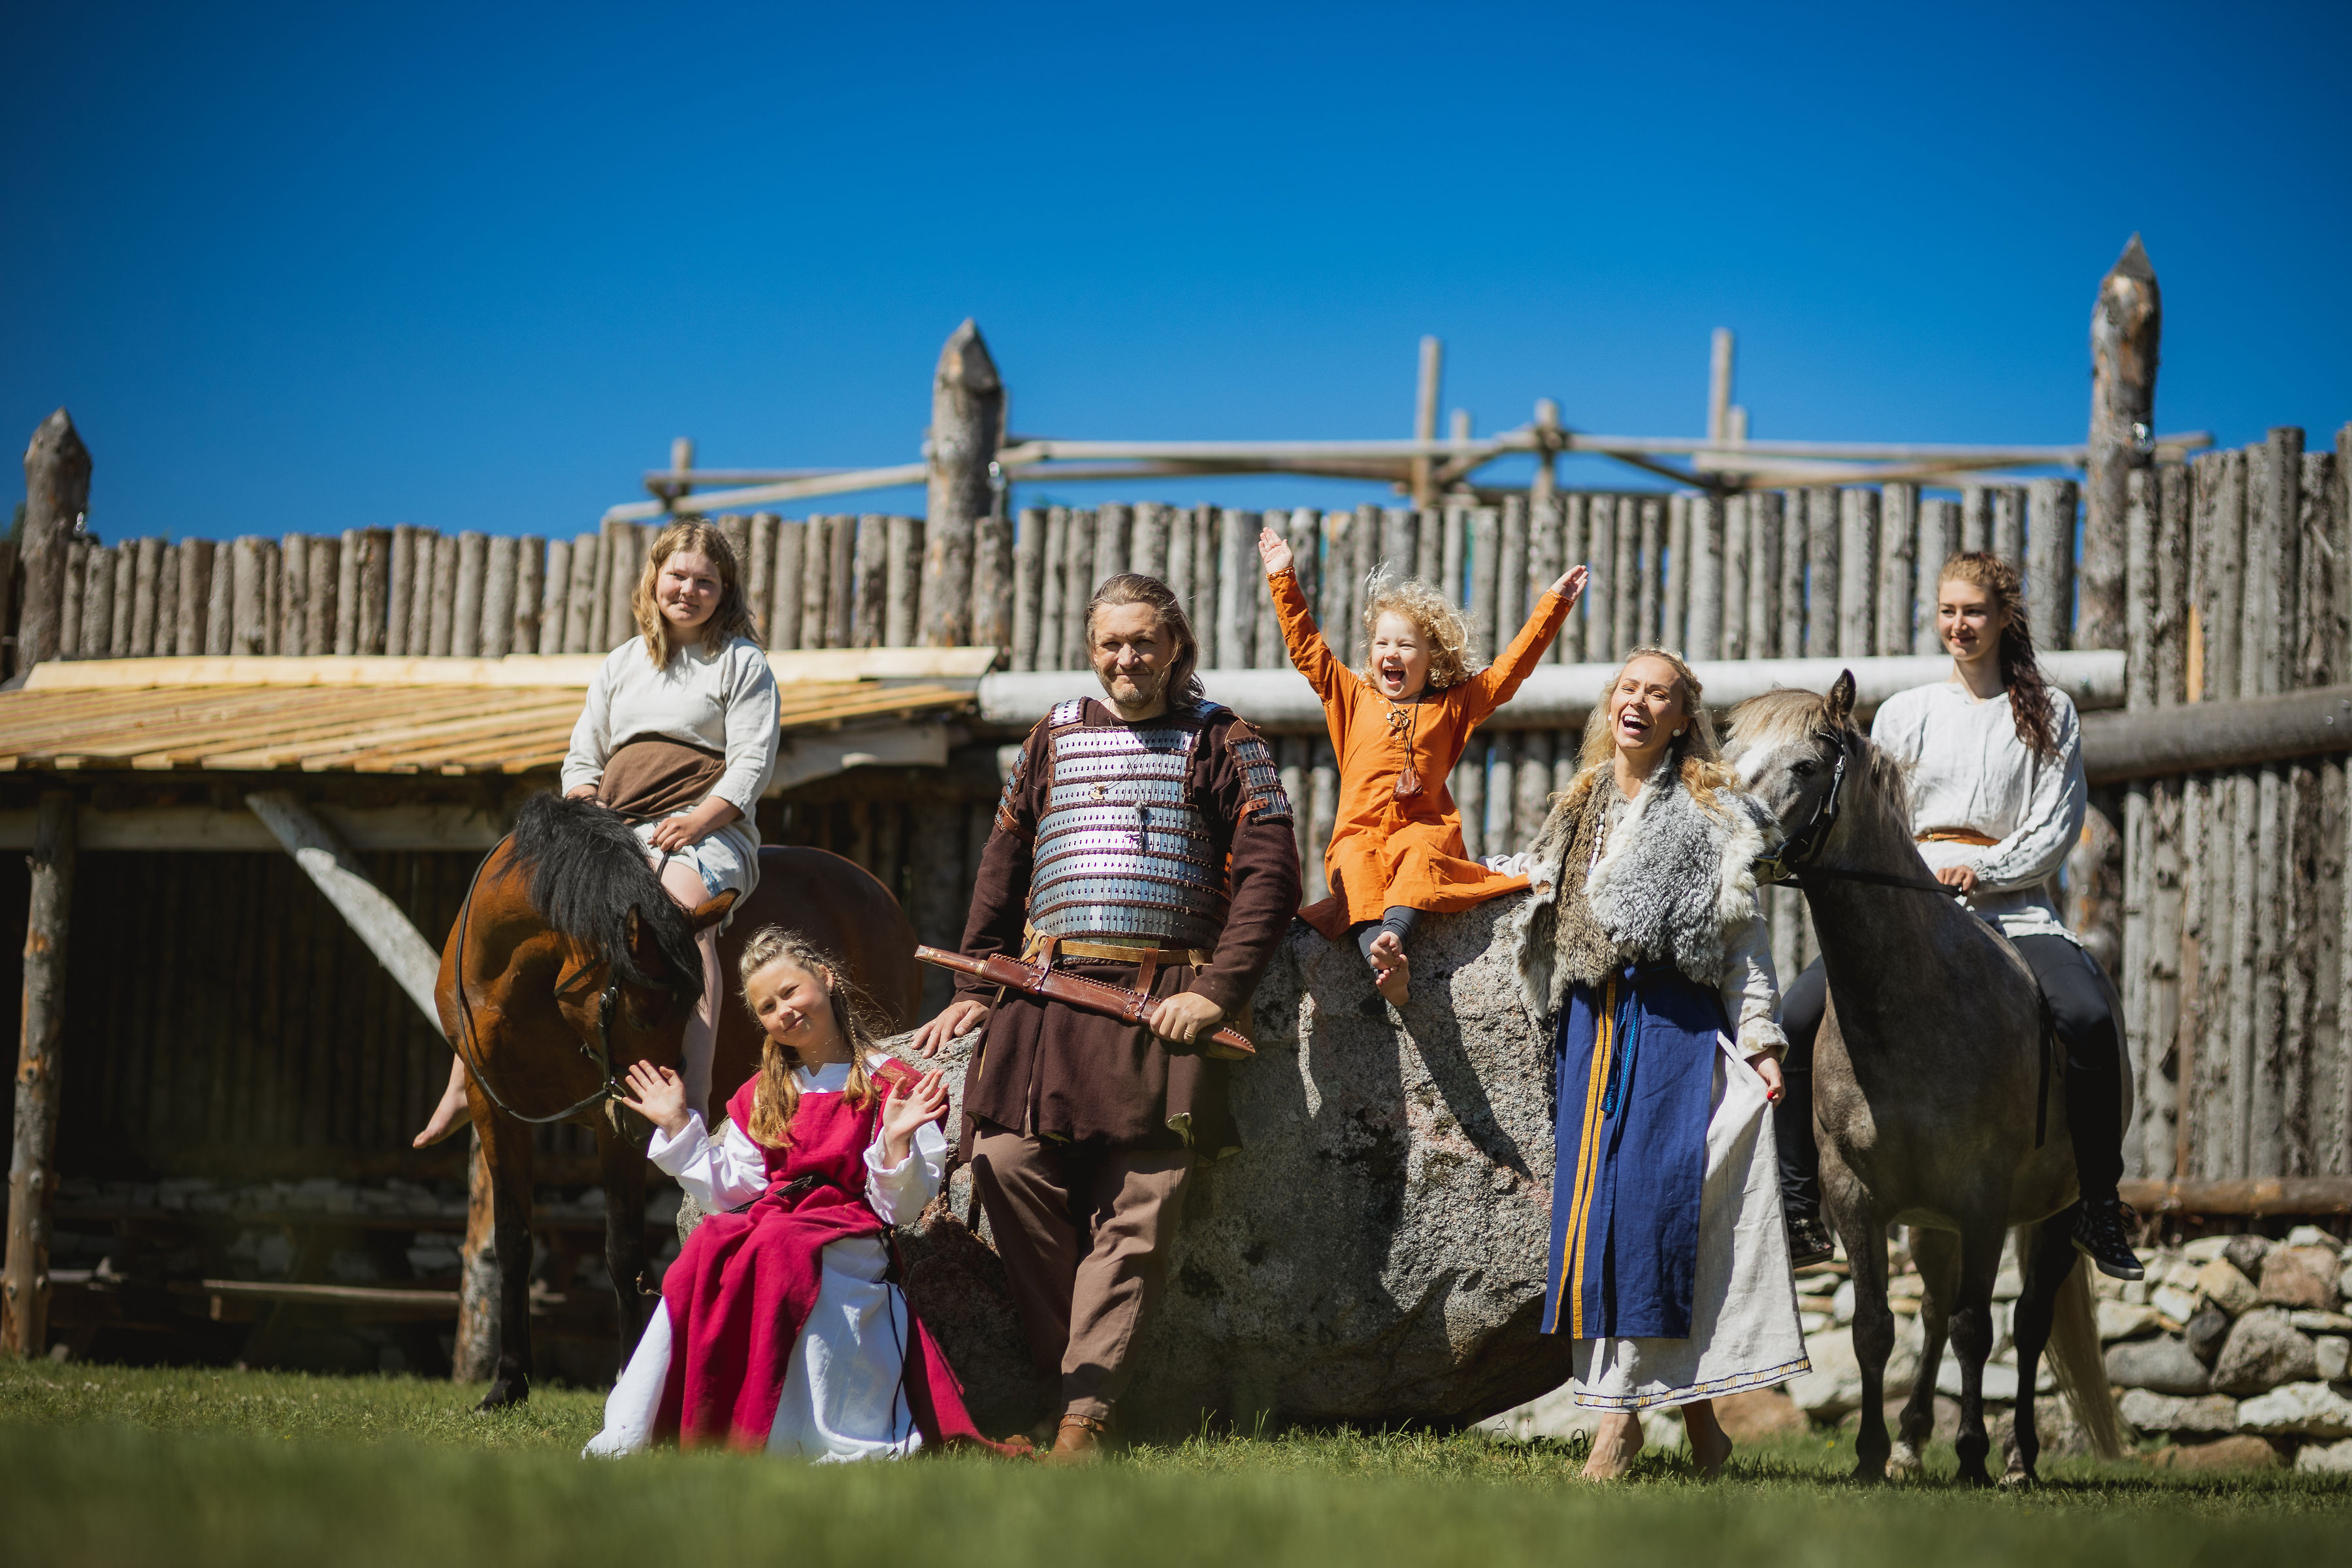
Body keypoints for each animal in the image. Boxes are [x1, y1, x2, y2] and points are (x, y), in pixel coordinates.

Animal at [437, 799, 922, 1410]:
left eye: (694, 1004)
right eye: (640, 1011)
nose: (660, 1103)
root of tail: (872, 887)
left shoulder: (612, 1120)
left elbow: (623, 1249)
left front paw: (626, 1378)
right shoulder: (497, 1113)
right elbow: (512, 1242)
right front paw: (507, 1382)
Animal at [1722, 677, 2126, 1486]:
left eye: (1806, 766)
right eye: (1729, 749)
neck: (1913, 1005)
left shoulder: (1983, 1199)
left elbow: (1979, 1328)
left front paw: (1971, 1455)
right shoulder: (1858, 1198)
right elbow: (1877, 1328)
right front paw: (1872, 1456)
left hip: (2057, 1213)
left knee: (2026, 1322)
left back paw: (2017, 1457)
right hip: (1931, 1224)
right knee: (1936, 1310)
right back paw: (1913, 1441)